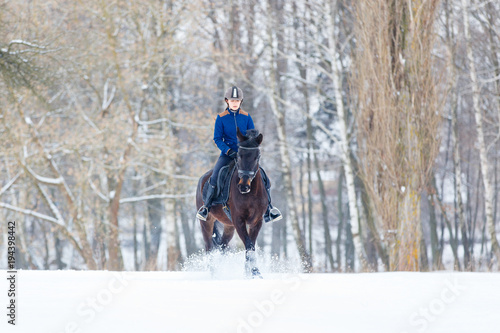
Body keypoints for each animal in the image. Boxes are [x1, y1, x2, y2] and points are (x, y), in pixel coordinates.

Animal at [195, 127, 268, 278]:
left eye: (257, 156)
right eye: (239, 155)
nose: (243, 186)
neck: (251, 194)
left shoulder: (256, 221)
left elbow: (250, 246)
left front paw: (249, 273)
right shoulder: (239, 220)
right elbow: (249, 245)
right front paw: (254, 272)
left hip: (229, 226)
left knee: (222, 246)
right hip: (206, 222)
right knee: (209, 247)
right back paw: (214, 274)